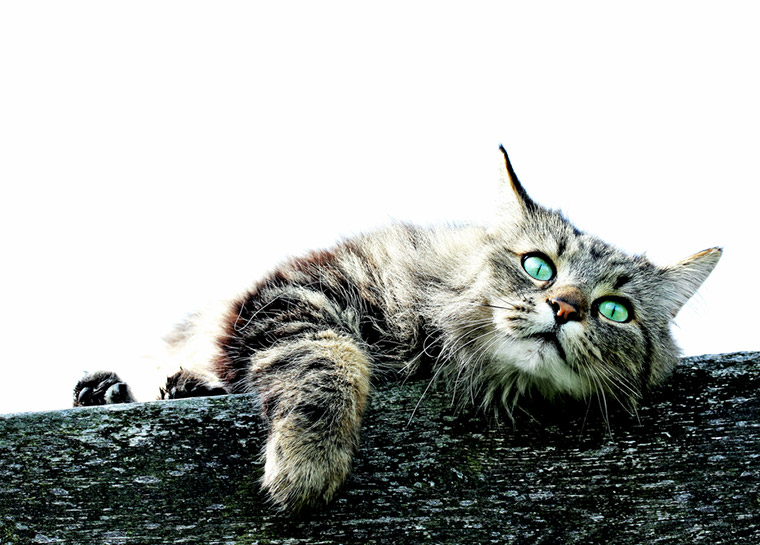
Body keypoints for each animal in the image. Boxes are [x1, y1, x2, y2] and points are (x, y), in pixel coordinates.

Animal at [74, 144, 720, 510]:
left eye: (615, 310)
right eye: (538, 266)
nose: (563, 308)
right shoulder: (298, 293)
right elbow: (329, 360)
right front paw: (307, 465)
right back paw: (118, 390)